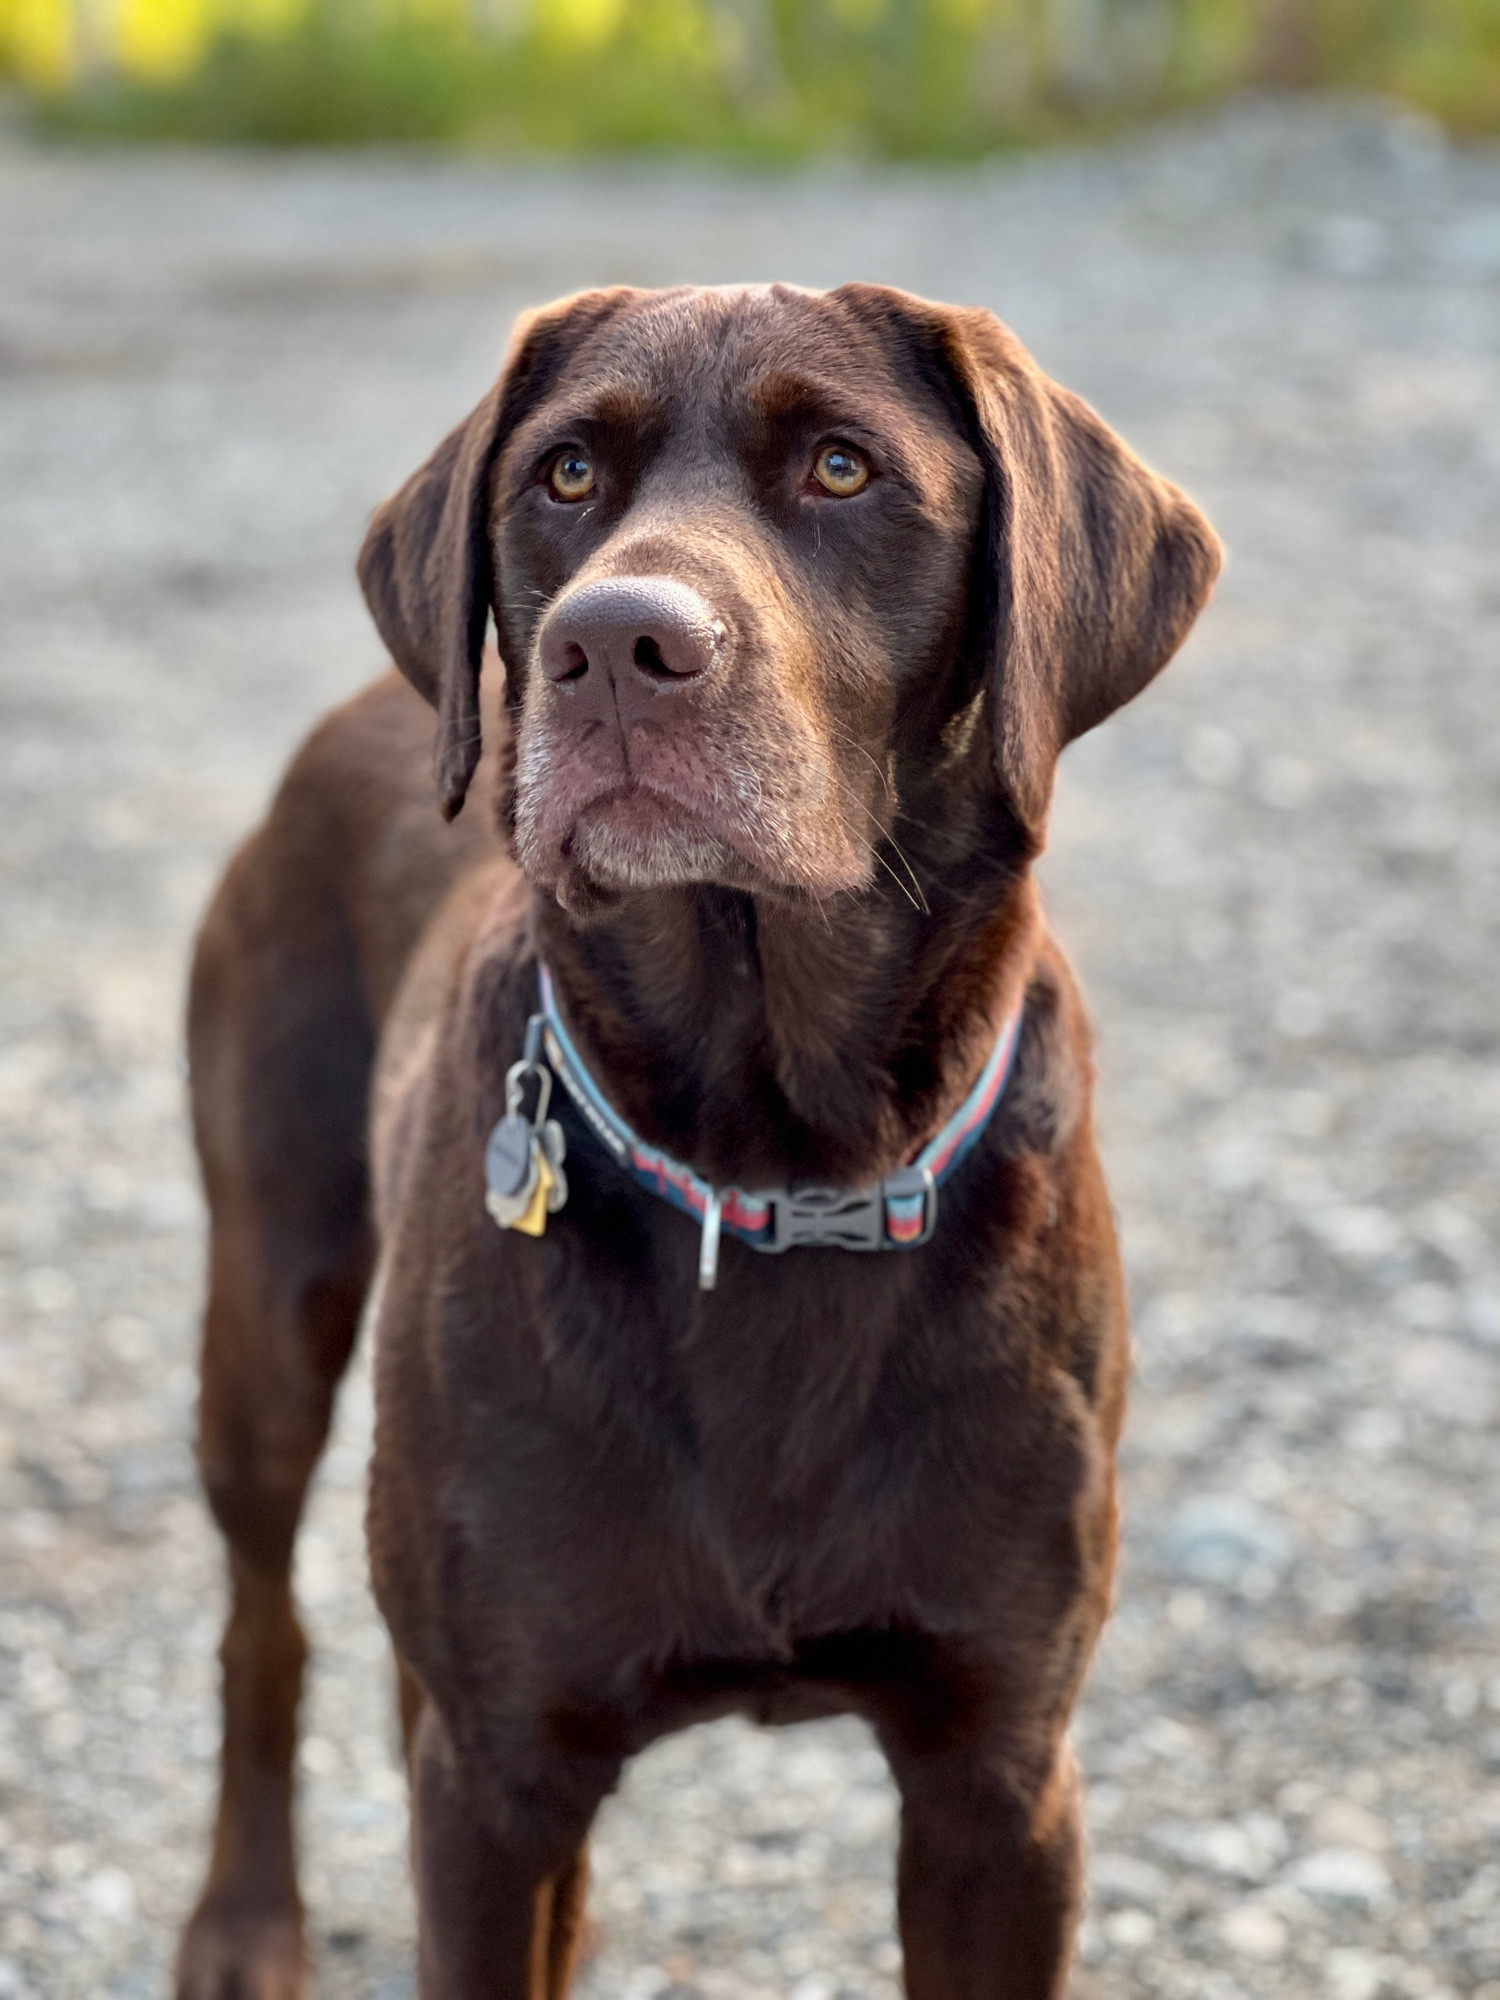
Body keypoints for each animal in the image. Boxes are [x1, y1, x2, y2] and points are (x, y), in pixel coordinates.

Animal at [176, 286, 1224, 2000]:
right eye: (566, 474)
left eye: (845, 467)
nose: (611, 643)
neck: (774, 1158)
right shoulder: (499, 1784)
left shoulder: (1002, 1783)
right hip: (270, 1307)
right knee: (265, 1621)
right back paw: (244, 1925)